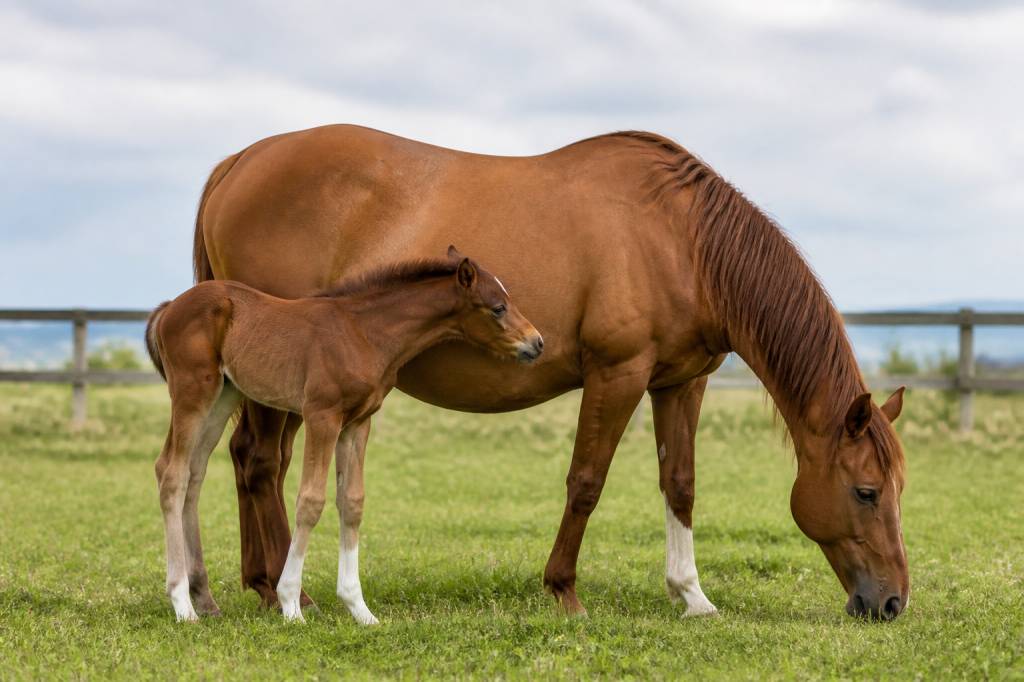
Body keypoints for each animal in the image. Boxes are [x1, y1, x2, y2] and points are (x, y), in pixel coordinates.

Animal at [145, 252, 543, 622]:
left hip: (223, 395)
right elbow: (310, 501)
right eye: (498, 307)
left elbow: (351, 502)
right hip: (193, 391)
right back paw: (182, 603)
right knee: (171, 472)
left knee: (194, 473)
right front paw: (291, 604)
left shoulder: (357, 423)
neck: (363, 332)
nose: (537, 343)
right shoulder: (322, 416)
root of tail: (167, 309)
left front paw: (359, 609)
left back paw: (204, 599)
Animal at [194, 125, 910, 622]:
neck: (681, 239)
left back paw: (259, 584)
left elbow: (679, 484)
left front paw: (692, 595)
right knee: (262, 463)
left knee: (254, 460)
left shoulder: (680, 382)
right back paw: (286, 592)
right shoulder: (619, 374)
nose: (893, 603)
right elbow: (586, 482)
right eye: (867, 492)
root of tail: (239, 163)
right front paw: (563, 590)